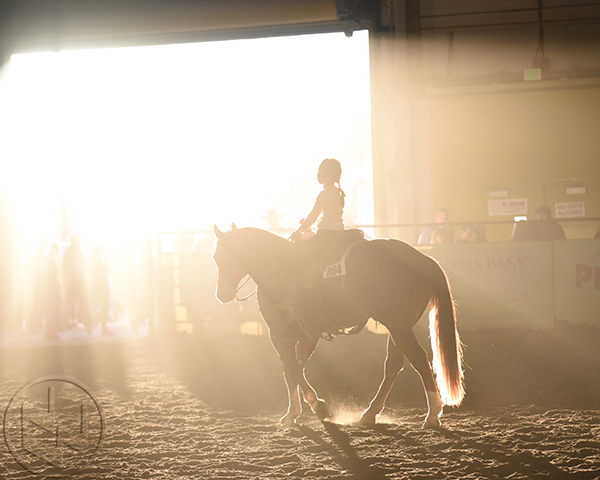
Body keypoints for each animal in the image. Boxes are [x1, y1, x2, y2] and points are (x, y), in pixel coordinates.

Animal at [213, 225, 466, 428]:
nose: (221, 294)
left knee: (419, 359)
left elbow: (289, 369)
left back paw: (432, 414)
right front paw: (317, 407)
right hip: (398, 327)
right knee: (394, 365)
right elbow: (297, 366)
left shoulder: (279, 333)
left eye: (223, 256)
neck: (279, 268)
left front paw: (296, 413)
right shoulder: (308, 334)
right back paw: (370, 413)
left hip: (398, 326)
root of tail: (422, 259)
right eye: (216, 257)